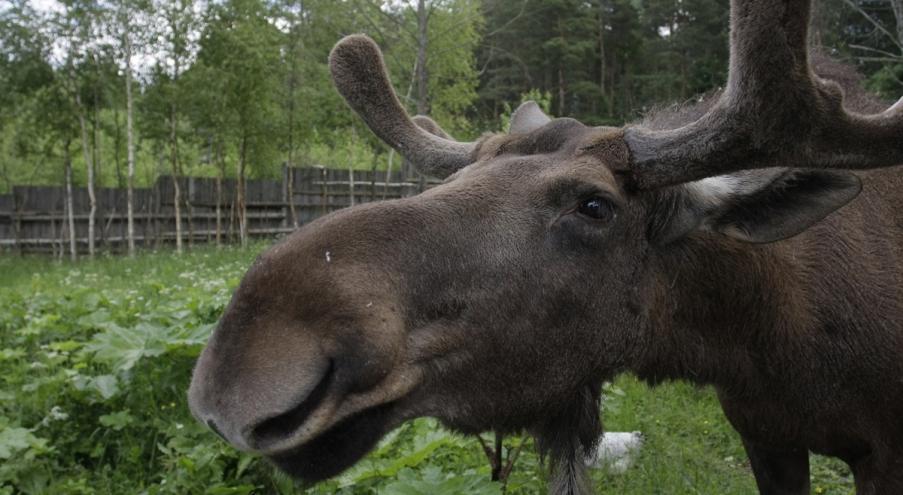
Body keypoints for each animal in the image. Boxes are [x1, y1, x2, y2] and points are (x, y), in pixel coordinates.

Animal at [185, 1, 903, 494]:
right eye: (460, 176)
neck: (772, 340)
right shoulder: (765, 435)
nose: (242, 366)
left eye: (594, 205)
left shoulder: (881, 450)